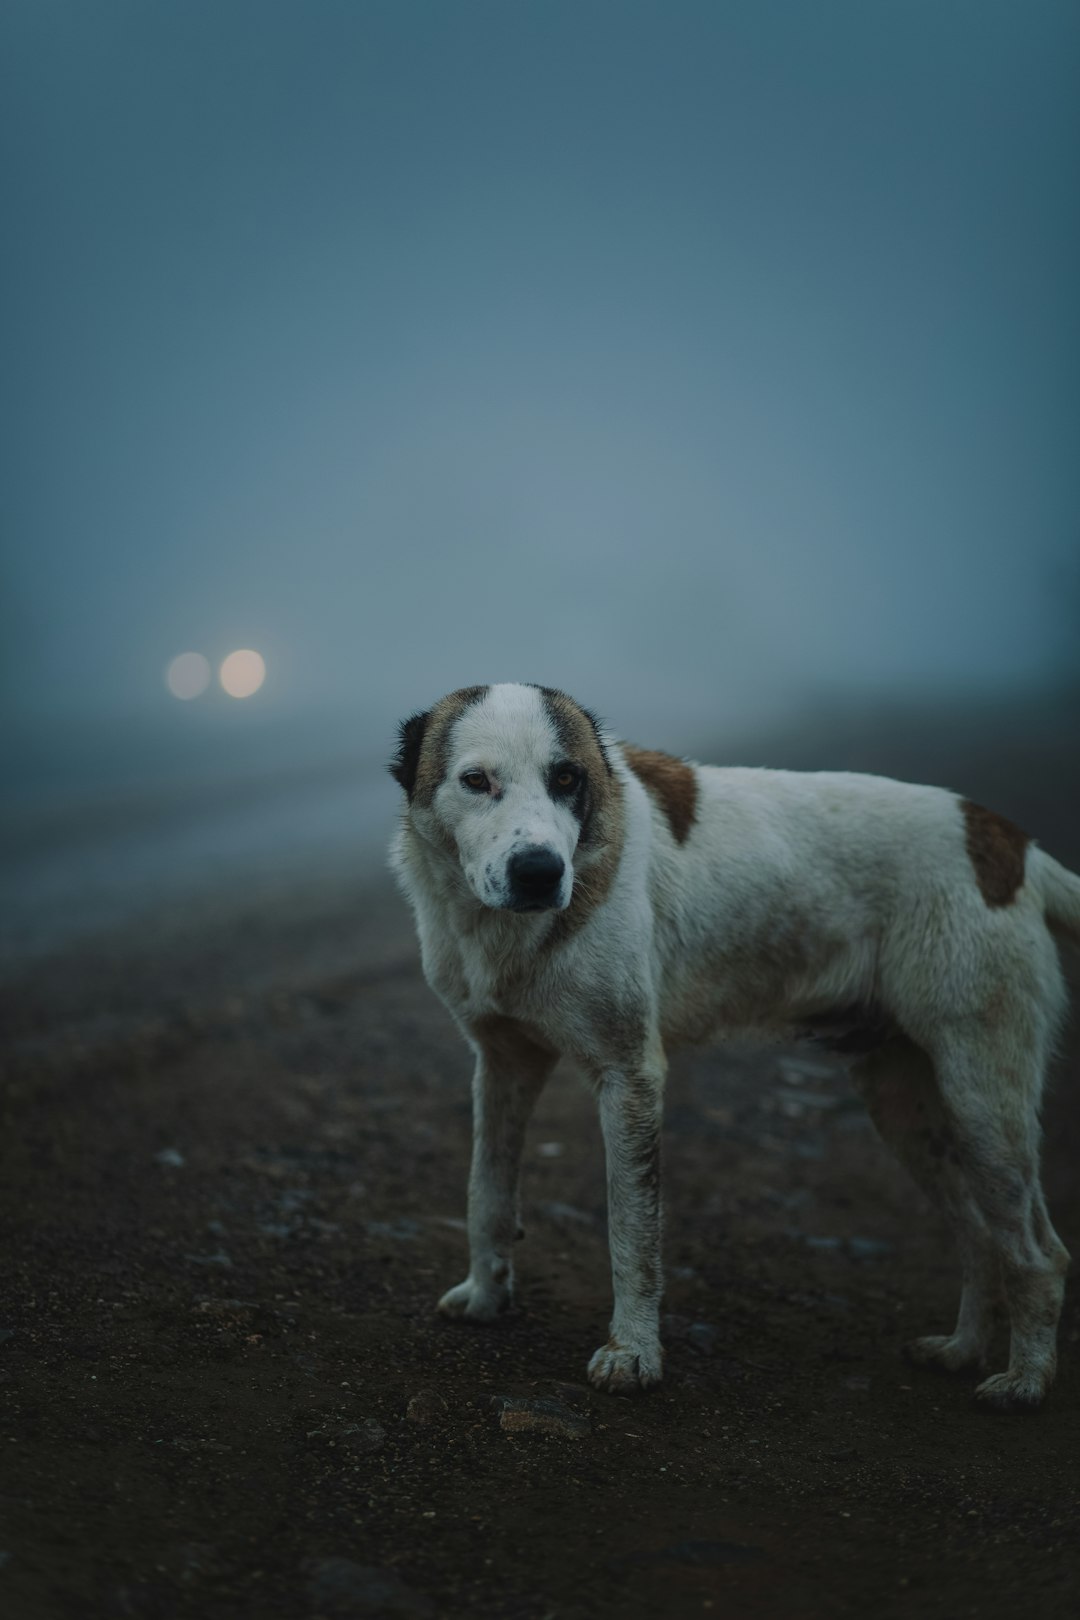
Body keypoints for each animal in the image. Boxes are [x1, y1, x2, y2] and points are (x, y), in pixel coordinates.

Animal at [388, 680, 1080, 1406]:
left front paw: (633, 1352)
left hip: (983, 1099)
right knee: (979, 1234)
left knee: (1038, 1252)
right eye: (476, 780)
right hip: (907, 1106)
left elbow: (632, 1233)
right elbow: (487, 1192)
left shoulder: (629, 1078)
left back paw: (1025, 1380)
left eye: (568, 778)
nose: (539, 872)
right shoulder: (502, 1065)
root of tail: (1010, 845)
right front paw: (486, 1296)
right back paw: (961, 1350)